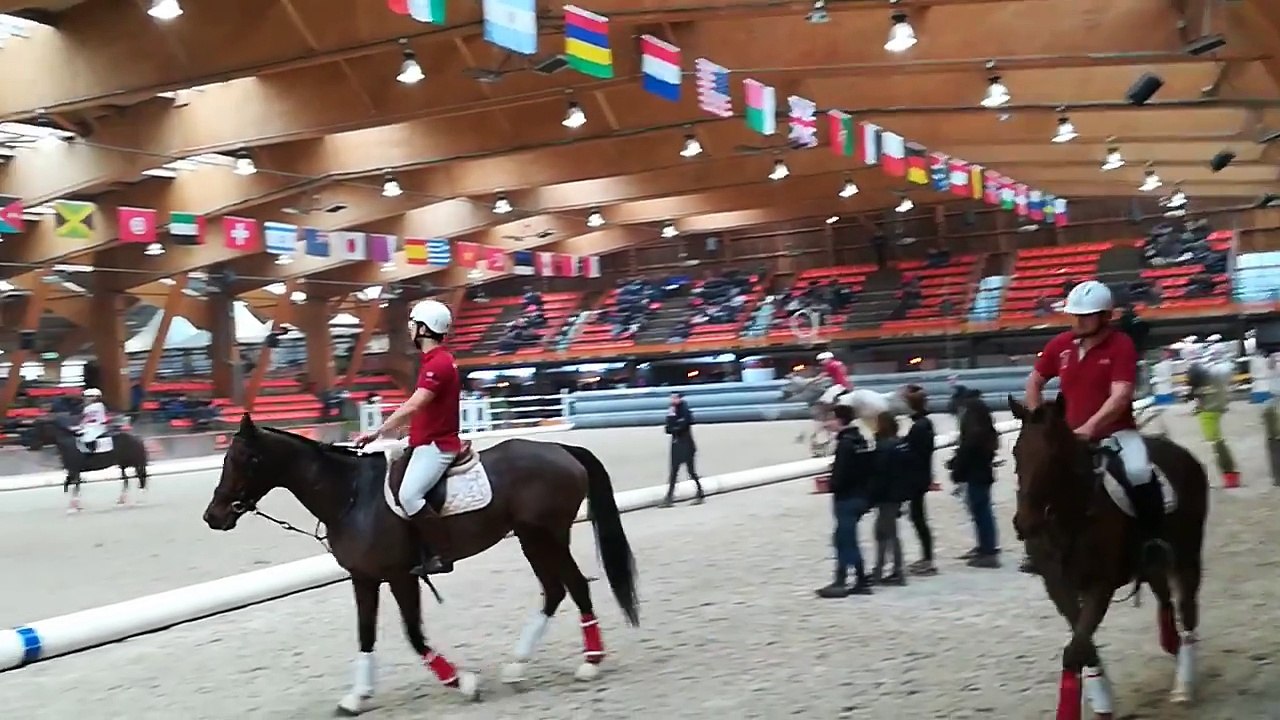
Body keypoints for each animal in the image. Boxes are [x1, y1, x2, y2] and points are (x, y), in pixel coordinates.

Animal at [202, 414, 639, 715]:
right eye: (225, 458)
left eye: (247, 459)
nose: (213, 516)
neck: (351, 496)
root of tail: (562, 449)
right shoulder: (364, 579)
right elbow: (365, 635)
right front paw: (357, 697)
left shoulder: (401, 576)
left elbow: (413, 634)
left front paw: (462, 682)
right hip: (532, 539)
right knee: (554, 590)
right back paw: (517, 667)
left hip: (547, 536)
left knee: (575, 586)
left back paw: (589, 664)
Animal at [1007, 396, 1208, 719]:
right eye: (1016, 451)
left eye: (1053, 455)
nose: (1025, 523)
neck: (1071, 516)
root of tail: (1183, 454)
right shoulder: (1058, 586)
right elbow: (1083, 644)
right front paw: (1101, 698)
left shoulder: (1100, 586)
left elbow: (1075, 649)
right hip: (1153, 562)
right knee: (1164, 596)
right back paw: (1171, 643)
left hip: (1187, 555)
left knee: (1187, 610)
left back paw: (1184, 685)